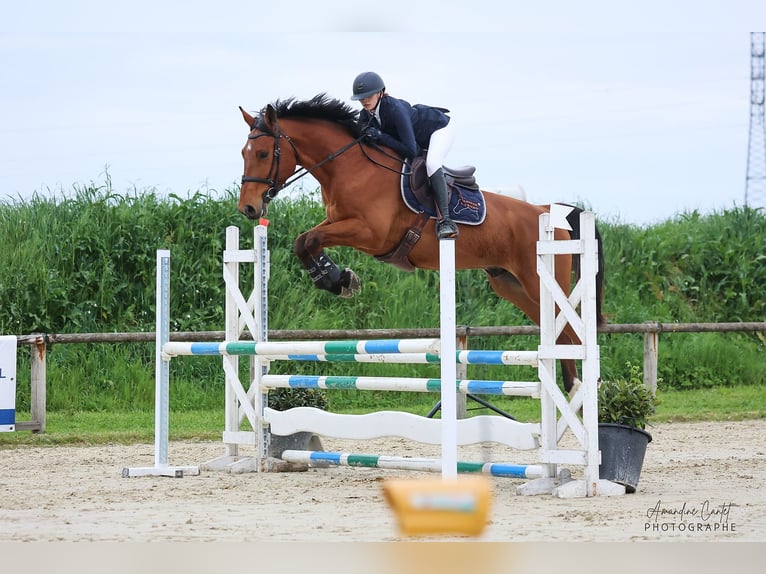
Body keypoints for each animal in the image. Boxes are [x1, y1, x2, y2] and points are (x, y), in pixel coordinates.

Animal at [237, 94, 605, 394]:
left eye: (263, 152)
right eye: (244, 153)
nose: (249, 209)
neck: (349, 167)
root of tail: (547, 212)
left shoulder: (368, 233)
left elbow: (310, 239)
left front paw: (336, 279)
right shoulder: (338, 222)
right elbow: (303, 241)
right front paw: (336, 279)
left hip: (538, 279)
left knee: (571, 335)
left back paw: (580, 394)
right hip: (511, 284)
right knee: (559, 334)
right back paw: (573, 391)